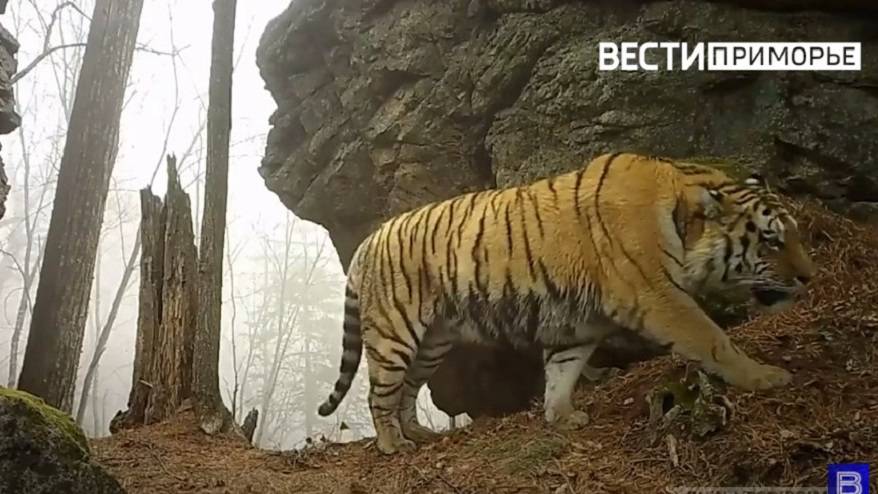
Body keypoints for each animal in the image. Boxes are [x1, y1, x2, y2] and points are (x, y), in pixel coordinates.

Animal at [317, 152, 816, 455]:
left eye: (794, 234)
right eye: (771, 240)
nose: (808, 277)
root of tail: (367, 241)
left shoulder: (577, 326)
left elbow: (562, 371)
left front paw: (560, 416)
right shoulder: (662, 298)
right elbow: (714, 339)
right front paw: (766, 377)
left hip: (432, 344)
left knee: (407, 389)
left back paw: (416, 432)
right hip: (395, 334)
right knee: (379, 394)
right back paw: (392, 444)